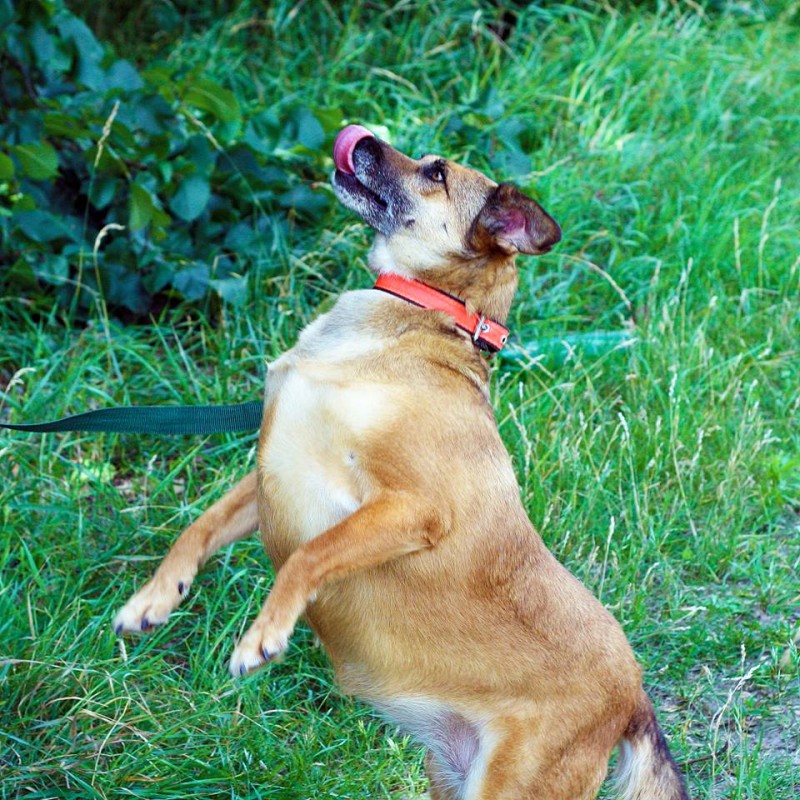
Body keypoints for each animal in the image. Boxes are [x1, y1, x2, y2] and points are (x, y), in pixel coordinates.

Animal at [111, 125, 688, 800]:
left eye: (435, 173)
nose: (360, 137)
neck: (424, 315)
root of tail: (634, 698)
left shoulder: (411, 508)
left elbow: (309, 555)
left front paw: (265, 634)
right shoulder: (271, 473)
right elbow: (197, 529)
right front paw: (155, 598)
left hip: (510, 785)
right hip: (451, 776)